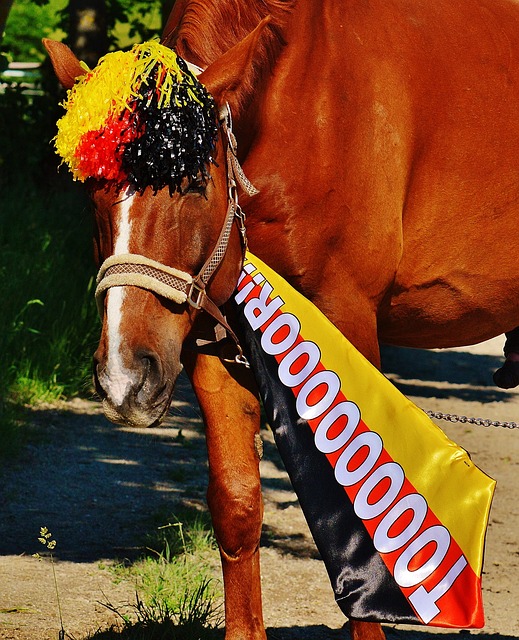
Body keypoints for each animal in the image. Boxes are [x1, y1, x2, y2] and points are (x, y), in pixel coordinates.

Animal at [43, 0, 519, 636]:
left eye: (194, 184)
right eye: (92, 190)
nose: (125, 378)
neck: (302, 99)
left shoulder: (347, 326)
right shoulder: (209, 338)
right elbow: (237, 503)